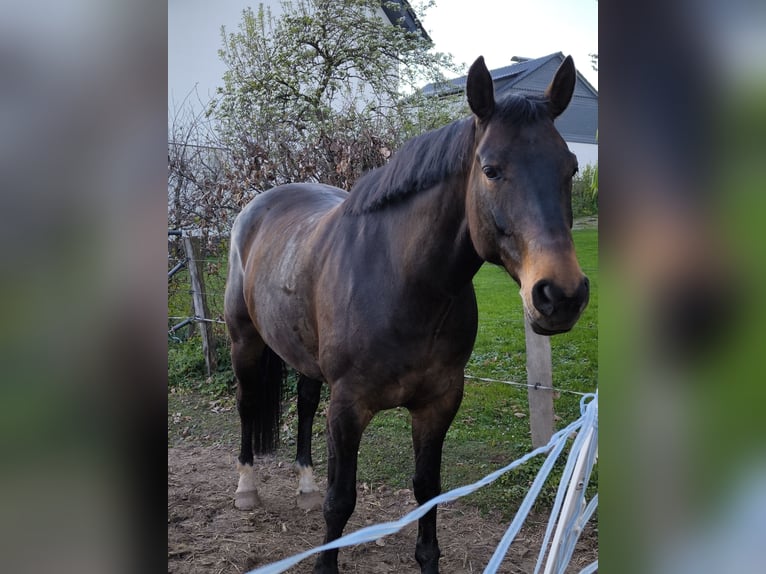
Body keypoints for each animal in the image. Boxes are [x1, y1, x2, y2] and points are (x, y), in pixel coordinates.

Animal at [224, 55, 589, 574]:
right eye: (491, 170)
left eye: (570, 167)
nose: (561, 295)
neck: (404, 285)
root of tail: (256, 205)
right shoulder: (348, 407)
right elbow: (342, 500)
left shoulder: (438, 402)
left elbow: (427, 491)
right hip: (244, 341)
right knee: (247, 403)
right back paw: (246, 488)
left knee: (305, 403)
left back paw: (305, 486)